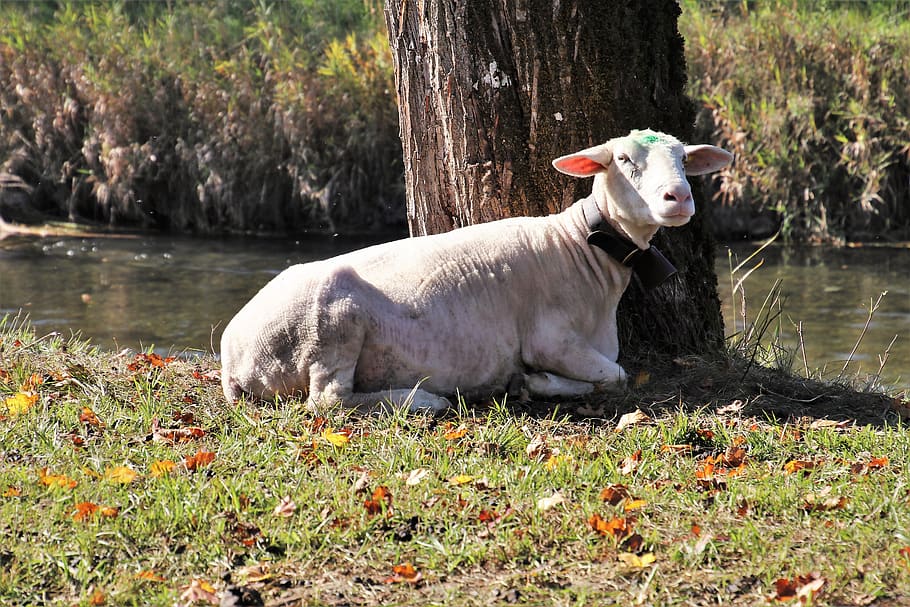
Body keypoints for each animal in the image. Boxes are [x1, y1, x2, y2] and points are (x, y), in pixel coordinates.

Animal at [220, 129, 733, 411]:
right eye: (623, 159)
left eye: (684, 159)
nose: (679, 197)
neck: (578, 249)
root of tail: (232, 353)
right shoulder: (551, 340)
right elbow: (617, 376)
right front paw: (539, 382)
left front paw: (530, 384)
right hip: (328, 328)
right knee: (328, 401)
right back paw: (423, 400)